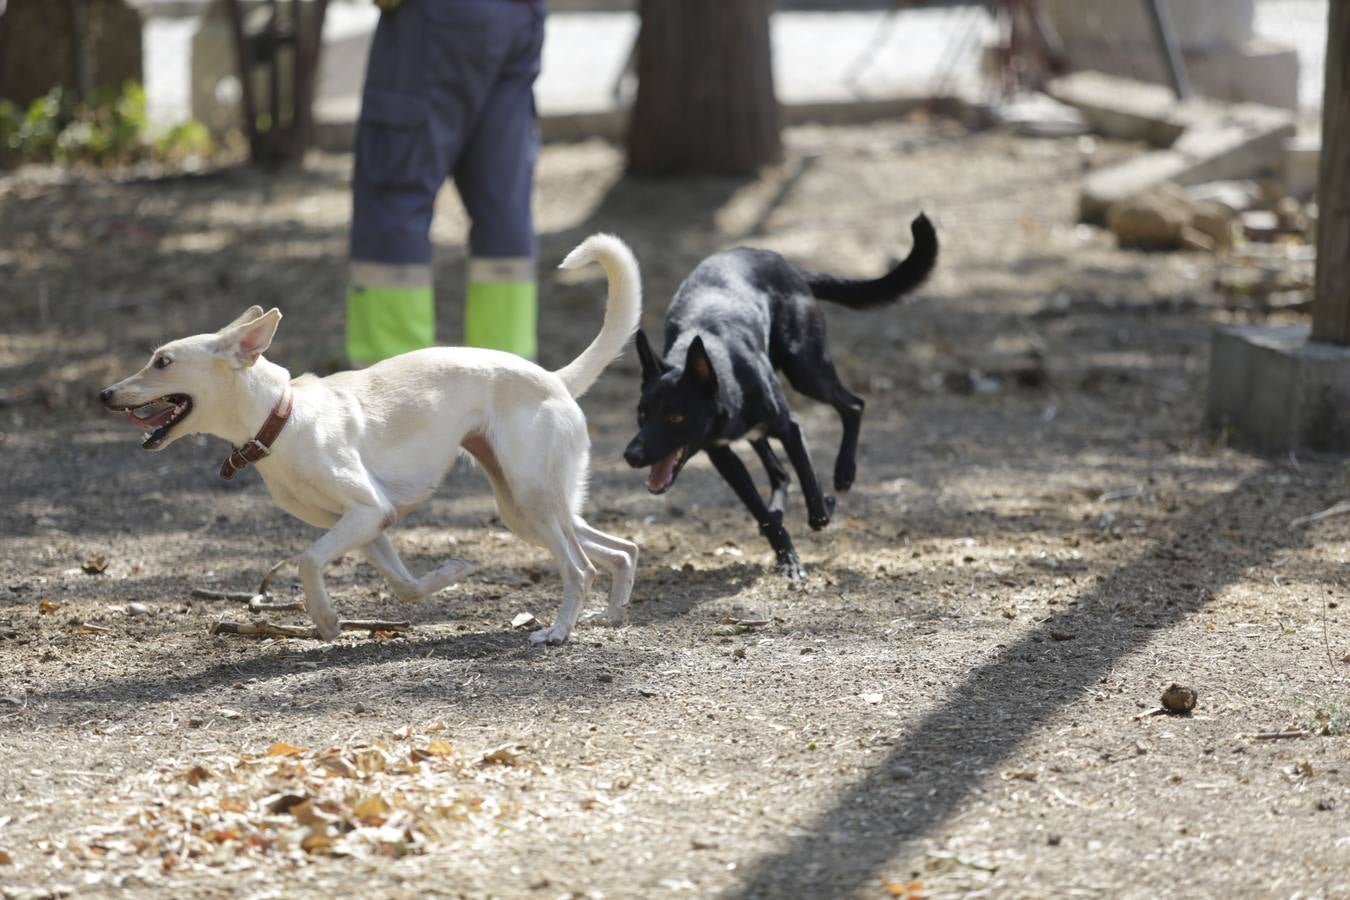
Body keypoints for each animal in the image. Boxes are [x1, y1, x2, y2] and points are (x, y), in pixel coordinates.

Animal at [99, 236, 637, 644]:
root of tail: (555, 379)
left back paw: (558, 632)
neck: (284, 418)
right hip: (527, 508)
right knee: (620, 550)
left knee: (581, 569)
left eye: (163, 362)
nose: (104, 394)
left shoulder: (366, 511)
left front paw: (325, 619)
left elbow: (308, 559)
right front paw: (452, 573)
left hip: (531, 496)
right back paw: (609, 616)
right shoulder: (371, 522)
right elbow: (406, 587)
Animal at [623, 213, 934, 577]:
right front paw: (787, 555)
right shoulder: (722, 455)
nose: (630, 455)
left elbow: (812, 490)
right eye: (642, 414)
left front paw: (823, 508)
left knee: (854, 405)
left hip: (804, 367)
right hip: (772, 411)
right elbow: (760, 510)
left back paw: (844, 473)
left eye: (675, 416)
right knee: (781, 473)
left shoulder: (789, 427)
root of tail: (786, 265)